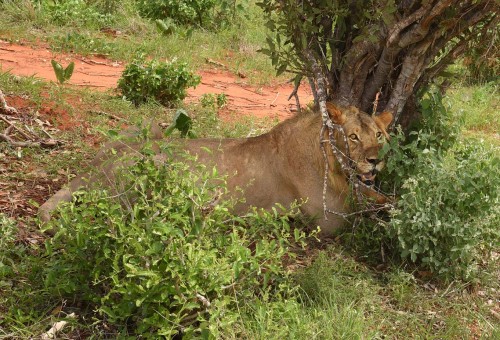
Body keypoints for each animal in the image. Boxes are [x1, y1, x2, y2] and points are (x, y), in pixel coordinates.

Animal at [38, 103, 390, 235]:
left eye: (379, 135)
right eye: (353, 136)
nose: (375, 160)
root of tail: (95, 170)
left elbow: (378, 197)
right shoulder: (328, 221)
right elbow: (364, 212)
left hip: (144, 127)